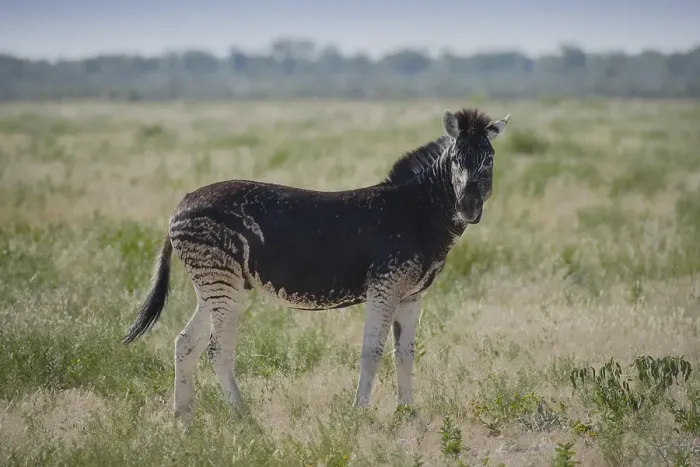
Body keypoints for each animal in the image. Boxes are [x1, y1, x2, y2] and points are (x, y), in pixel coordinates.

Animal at [122, 107, 510, 427]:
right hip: (219, 280)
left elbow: (405, 354)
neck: (419, 212)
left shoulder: (412, 295)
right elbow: (372, 352)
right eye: (456, 160)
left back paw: (183, 422)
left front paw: (408, 414)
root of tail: (182, 202)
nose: (469, 207)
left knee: (186, 343)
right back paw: (245, 420)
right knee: (218, 350)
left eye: (489, 160)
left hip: (212, 285)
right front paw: (359, 414)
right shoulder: (384, 287)